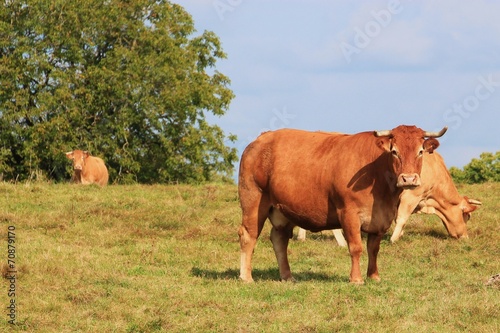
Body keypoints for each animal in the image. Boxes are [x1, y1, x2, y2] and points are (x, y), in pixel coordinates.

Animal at [238, 124, 454, 282]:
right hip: (253, 198)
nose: (408, 179)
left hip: (282, 209)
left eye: (420, 151)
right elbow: (356, 247)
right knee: (248, 235)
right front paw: (356, 279)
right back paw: (246, 277)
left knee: (279, 239)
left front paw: (374, 276)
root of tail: (261, 139)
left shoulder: (381, 218)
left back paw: (287, 277)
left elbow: (373, 249)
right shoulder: (348, 213)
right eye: (394, 151)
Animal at [296, 152, 480, 243]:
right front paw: (393, 239)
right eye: (467, 216)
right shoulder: (411, 195)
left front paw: (399, 235)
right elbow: (402, 218)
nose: (465, 237)